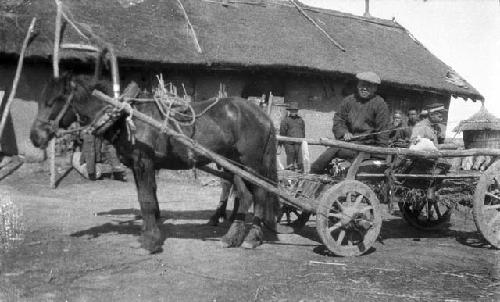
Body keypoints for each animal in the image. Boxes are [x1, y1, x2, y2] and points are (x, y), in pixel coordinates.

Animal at [30, 72, 282, 252]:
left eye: (54, 100)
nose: (35, 136)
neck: (125, 115)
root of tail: (262, 115)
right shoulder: (138, 166)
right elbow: (146, 199)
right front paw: (147, 234)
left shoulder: (144, 163)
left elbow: (147, 200)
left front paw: (151, 242)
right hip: (235, 165)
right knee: (252, 196)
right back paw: (242, 237)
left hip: (249, 165)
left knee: (255, 196)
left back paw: (243, 237)